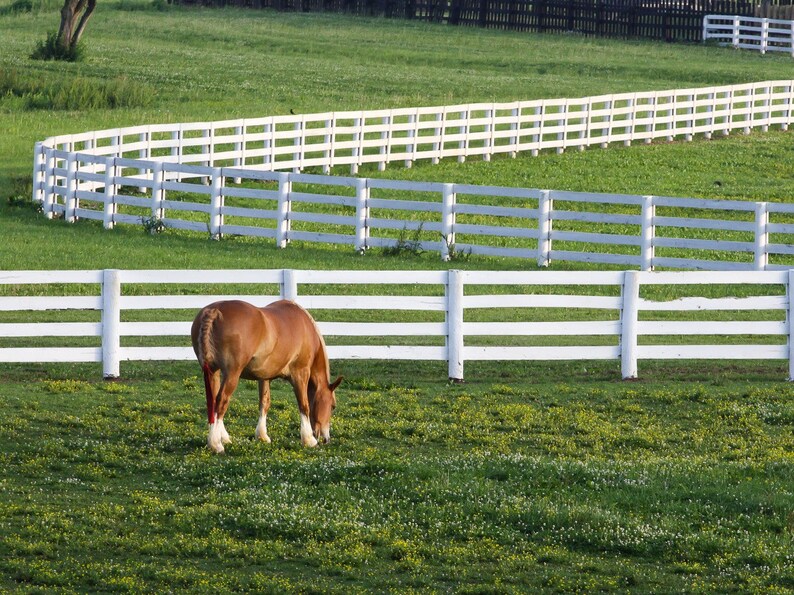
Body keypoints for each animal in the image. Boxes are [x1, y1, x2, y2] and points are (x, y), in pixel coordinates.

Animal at [191, 299, 342, 453]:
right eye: (333, 406)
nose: (326, 439)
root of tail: (214, 311)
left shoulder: (264, 377)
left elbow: (264, 402)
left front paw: (262, 436)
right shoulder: (301, 373)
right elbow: (304, 405)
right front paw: (308, 439)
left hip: (212, 372)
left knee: (213, 402)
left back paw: (223, 438)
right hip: (231, 374)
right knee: (221, 401)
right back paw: (216, 444)